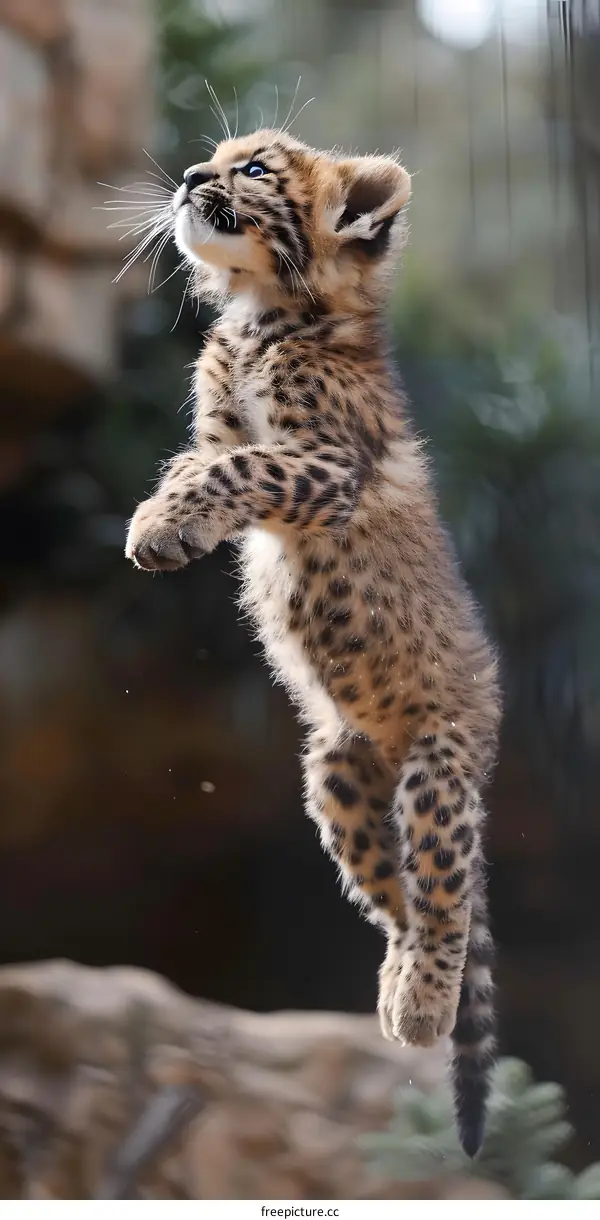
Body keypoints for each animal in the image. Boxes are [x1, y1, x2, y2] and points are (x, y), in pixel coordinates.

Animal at [124, 126, 502, 1157]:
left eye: (254, 170)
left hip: (438, 776)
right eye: (216, 159)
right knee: (399, 898)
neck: (266, 315)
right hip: (337, 773)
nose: (189, 177)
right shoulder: (221, 418)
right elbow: (202, 457)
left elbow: (236, 467)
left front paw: (160, 526)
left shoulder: (329, 465)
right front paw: (163, 522)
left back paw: (424, 1006)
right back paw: (395, 994)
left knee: (446, 896)